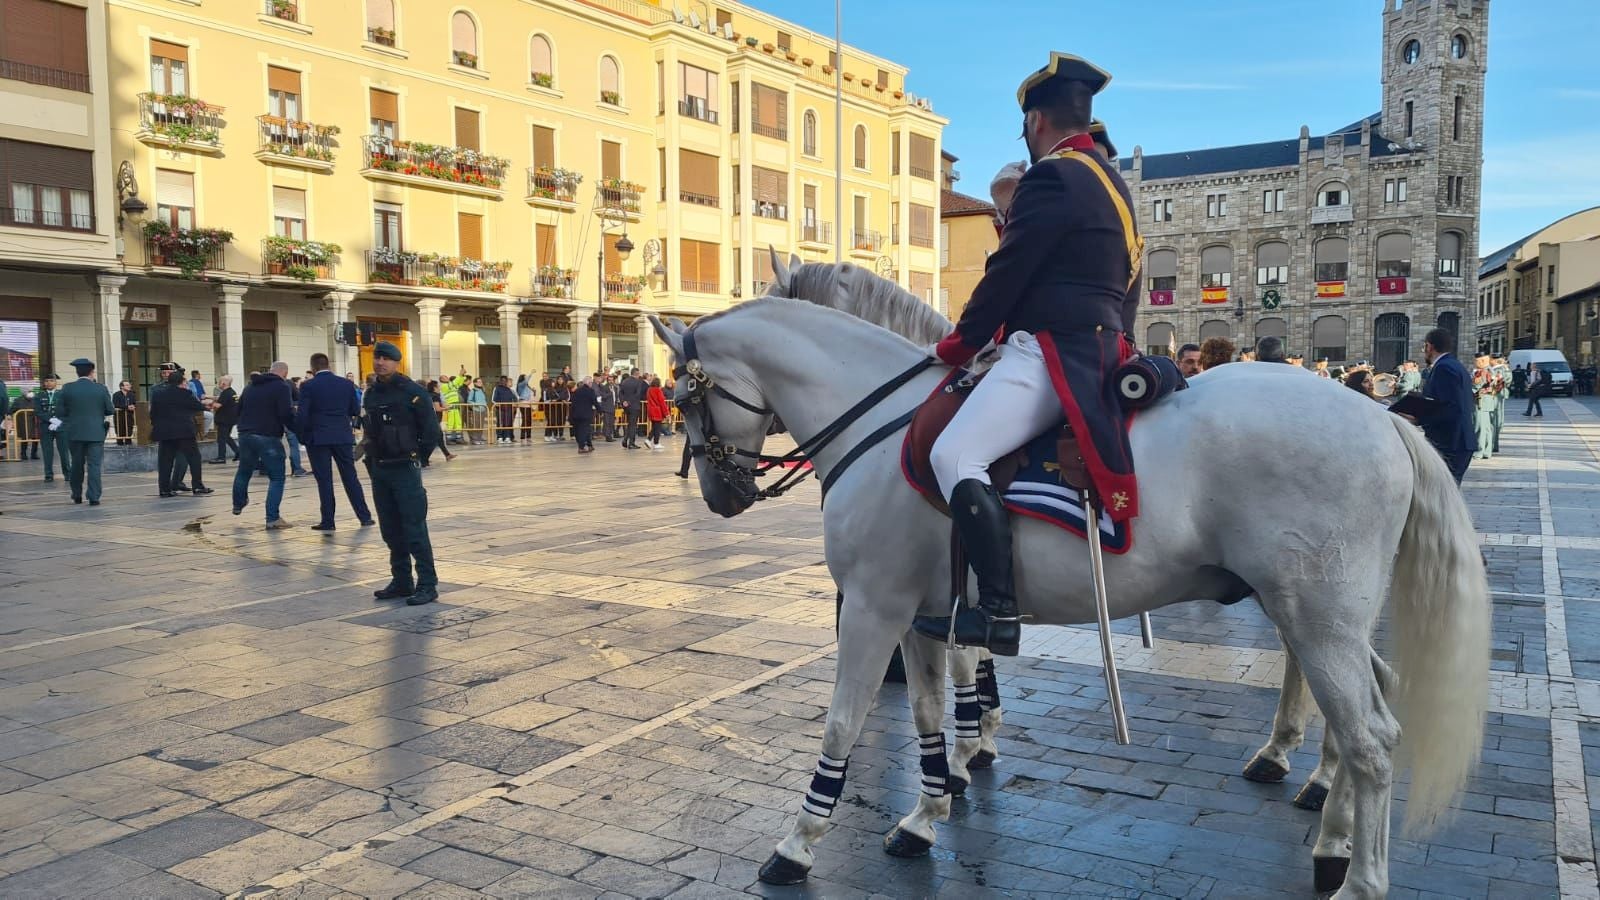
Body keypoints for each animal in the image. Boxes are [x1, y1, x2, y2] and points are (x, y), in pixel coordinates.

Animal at [646, 281, 1484, 896]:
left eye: (684, 397)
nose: (720, 495)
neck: (881, 423)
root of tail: (1381, 418)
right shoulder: (916, 617)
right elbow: (926, 715)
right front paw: (926, 813)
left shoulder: (875, 609)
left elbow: (841, 726)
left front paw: (797, 844)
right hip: (1324, 619)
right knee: (1363, 710)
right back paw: (1330, 834)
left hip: (1316, 617)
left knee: (1371, 739)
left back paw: (1357, 876)